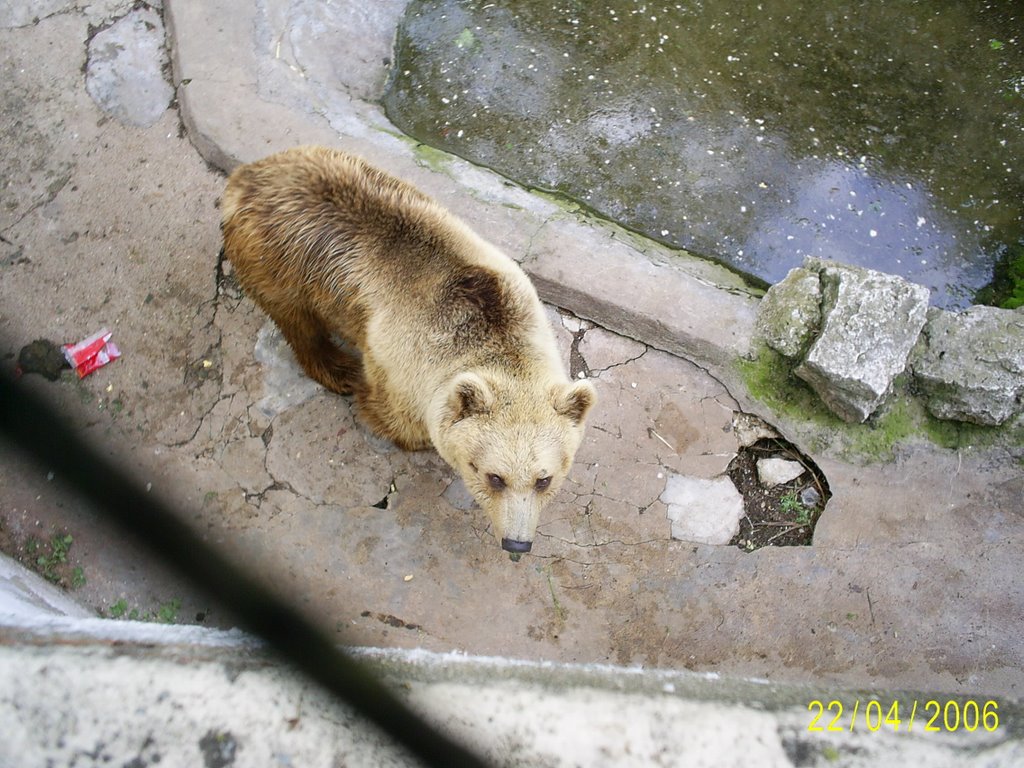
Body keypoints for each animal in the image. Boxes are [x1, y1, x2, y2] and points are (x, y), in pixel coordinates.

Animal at [220, 145, 598, 552]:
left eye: (544, 479)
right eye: (494, 476)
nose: (516, 545)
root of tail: (245, 175)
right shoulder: (402, 362)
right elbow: (392, 413)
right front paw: (409, 433)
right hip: (280, 259)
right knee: (297, 321)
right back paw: (339, 369)